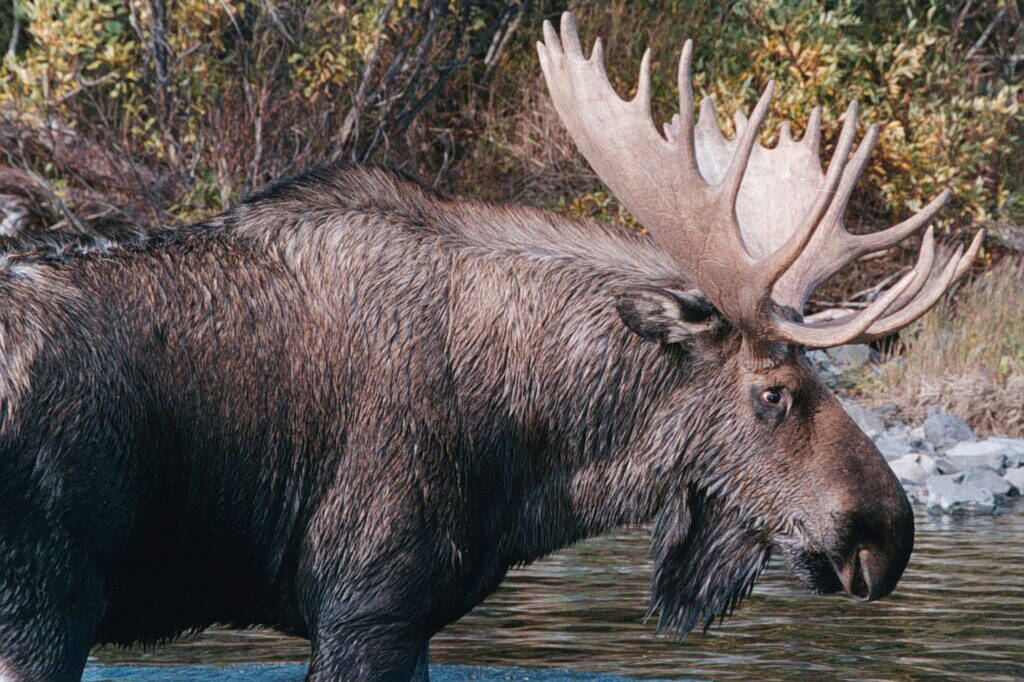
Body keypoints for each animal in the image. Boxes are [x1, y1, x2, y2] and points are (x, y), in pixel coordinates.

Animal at [0, 13, 978, 679]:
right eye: (774, 392)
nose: (886, 535)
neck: (532, 456)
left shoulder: (406, 622)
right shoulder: (366, 607)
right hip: (47, 603)